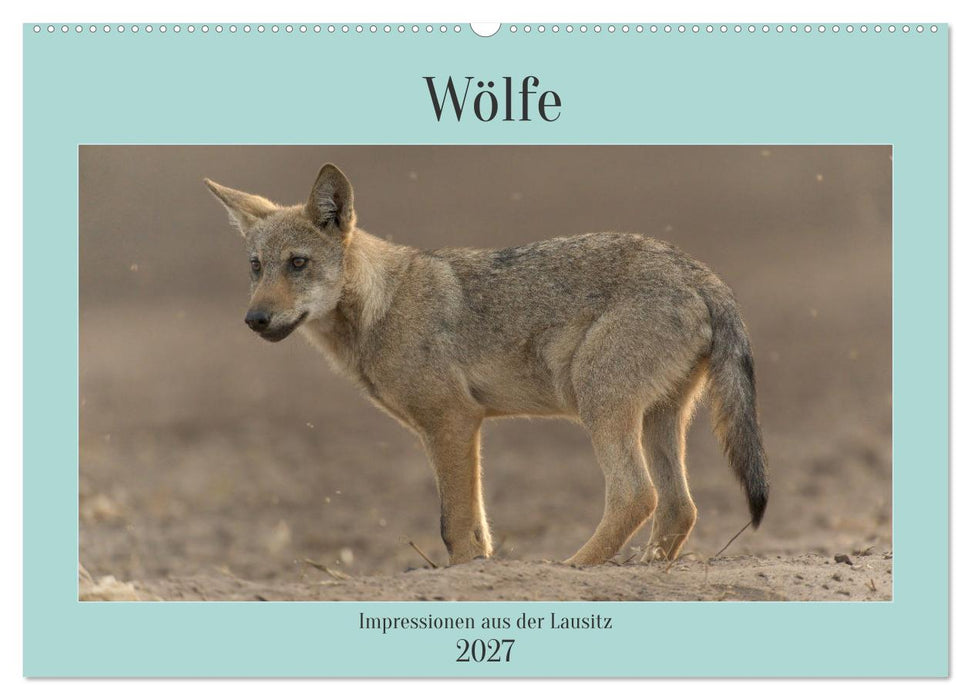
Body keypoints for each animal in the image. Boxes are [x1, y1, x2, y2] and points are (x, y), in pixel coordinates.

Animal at [205, 164, 768, 566]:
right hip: (659, 418)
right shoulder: (453, 429)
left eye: (298, 263)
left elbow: (453, 525)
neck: (382, 305)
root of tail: (701, 272)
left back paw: (571, 568)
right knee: (679, 508)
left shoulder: (453, 422)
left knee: (637, 496)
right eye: (256, 267)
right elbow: (475, 528)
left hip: (600, 404)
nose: (255, 319)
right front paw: (481, 569)